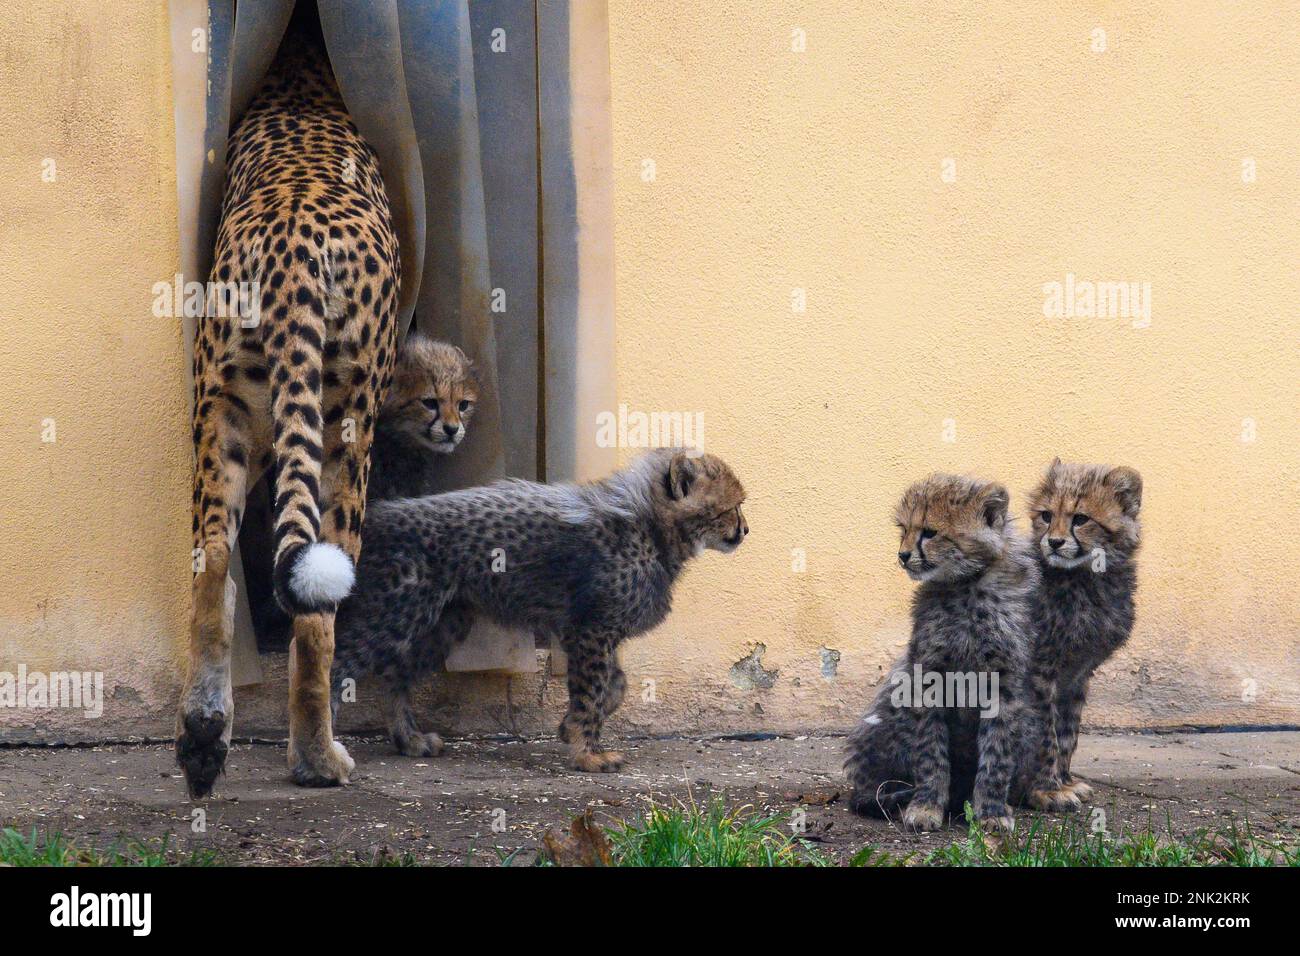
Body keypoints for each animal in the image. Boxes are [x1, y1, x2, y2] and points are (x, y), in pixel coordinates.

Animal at [175, 22, 401, 797]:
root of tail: (294, 234)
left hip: (222, 414)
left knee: (212, 560)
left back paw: (204, 733)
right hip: (345, 437)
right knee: (318, 609)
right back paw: (316, 757)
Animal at [330, 449, 748, 772]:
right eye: (731, 507)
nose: (745, 530)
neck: (650, 525)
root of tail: (379, 513)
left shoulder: (593, 629)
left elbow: (615, 685)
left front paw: (568, 727)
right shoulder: (591, 630)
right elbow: (592, 691)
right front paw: (588, 755)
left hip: (442, 623)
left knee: (395, 675)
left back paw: (409, 740)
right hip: (395, 613)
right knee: (333, 666)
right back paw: (325, 757)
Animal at [845, 474, 1038, 832]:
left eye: (930, 532)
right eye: (903, 528)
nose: (903, 554)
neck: (966, 585)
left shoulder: (1004, 684)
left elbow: (997, 753)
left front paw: (992, 811)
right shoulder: (927, 677)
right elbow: (930, 750)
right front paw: (926, 807)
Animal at [1020, 459, 1142, 812]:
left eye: (1081, 519)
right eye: (1046, 516)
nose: (1054, 542)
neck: (1086, 579)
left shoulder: (1078, 673)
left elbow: (1067, 732)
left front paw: (1064, 781)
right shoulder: (1039, 670)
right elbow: (1045, 732)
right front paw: (1046, 790)